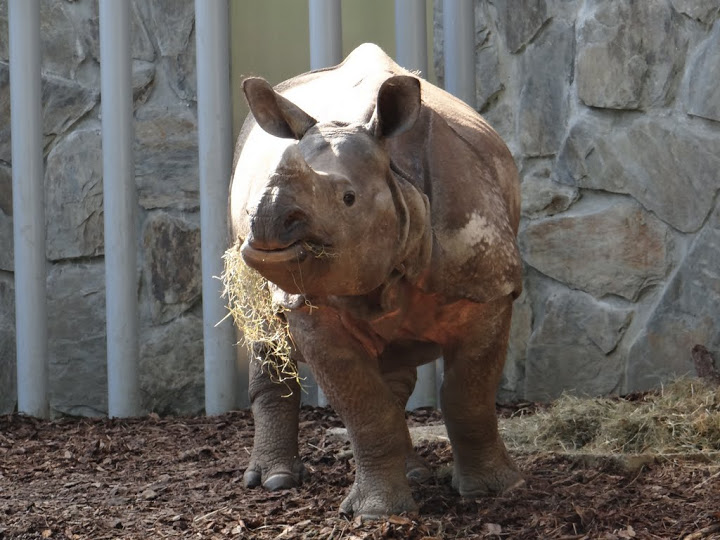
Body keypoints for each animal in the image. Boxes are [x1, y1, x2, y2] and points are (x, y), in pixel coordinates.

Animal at [229, 43, 524, 518]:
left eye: (349, 199)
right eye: (256, 199)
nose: (268, 227)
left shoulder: (487, 284)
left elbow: (469, 395)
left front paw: (496, 490)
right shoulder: (309, 301)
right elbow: (365, 408)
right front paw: (379, 513)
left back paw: (415, 474)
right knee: (264, 334)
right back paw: (273, 481)